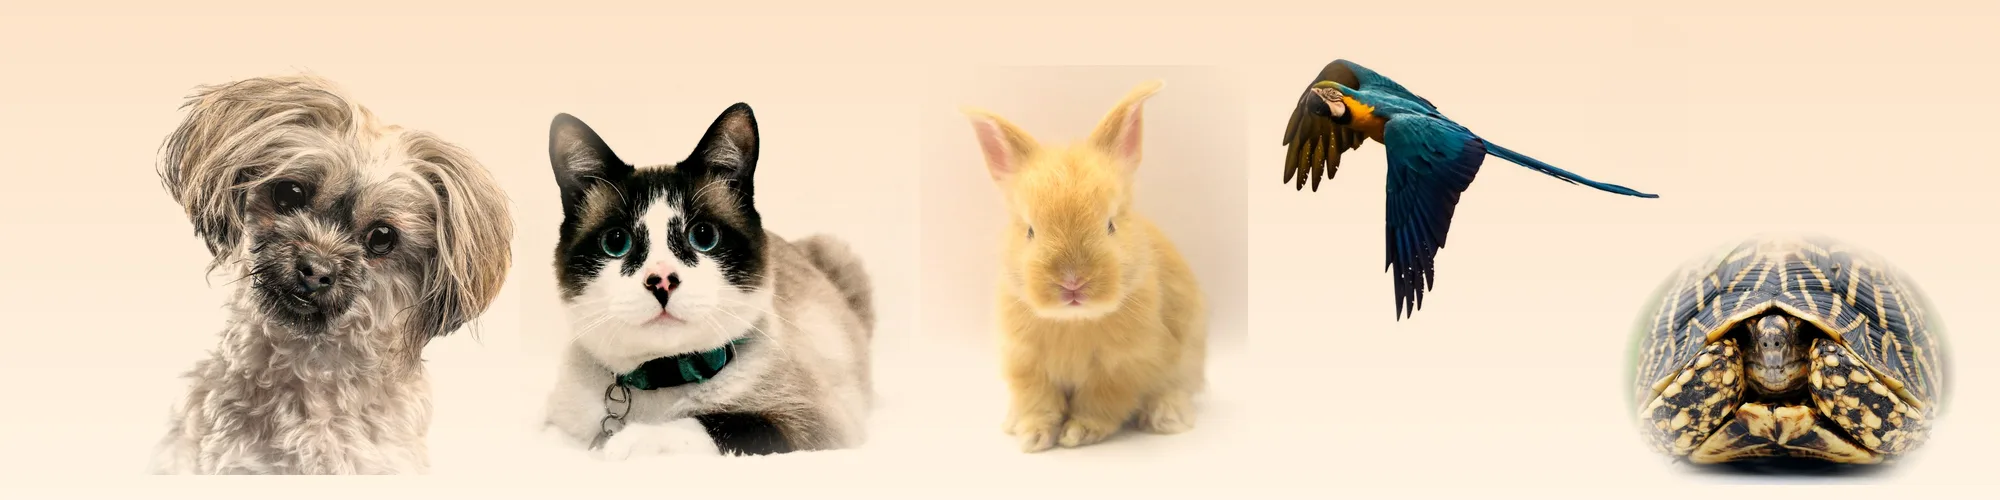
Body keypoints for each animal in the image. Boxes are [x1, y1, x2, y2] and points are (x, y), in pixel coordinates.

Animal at [961, 80, 1209, 453]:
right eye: (1030, 231)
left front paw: (1077, 433)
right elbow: (1038, 402)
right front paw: (1033, 436)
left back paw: (1167, 417)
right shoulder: (1027, 364)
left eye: (1110, 225)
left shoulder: (1122, 367)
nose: (1073, 282)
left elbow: (1100, 403)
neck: (1073, 321)